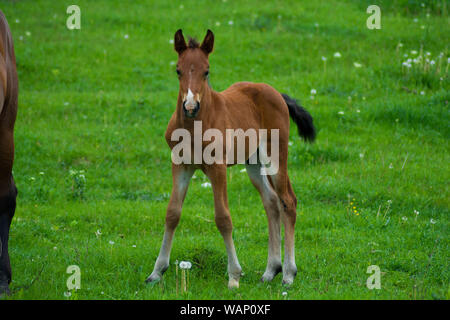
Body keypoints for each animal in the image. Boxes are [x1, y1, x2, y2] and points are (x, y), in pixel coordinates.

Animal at [146, 29, 314, 288]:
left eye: (206, 71)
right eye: (178, 70)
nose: (190, 106)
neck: (195, 126)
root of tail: (276, 93)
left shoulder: (218, 167)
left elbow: (223, 217)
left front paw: (234, 275)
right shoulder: (181, 165)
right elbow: (172, 213)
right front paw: (157, 271)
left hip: (275, 155)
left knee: (288, 200)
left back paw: (288, 273)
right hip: (253, 162)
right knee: (271, 201)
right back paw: (270, 270)